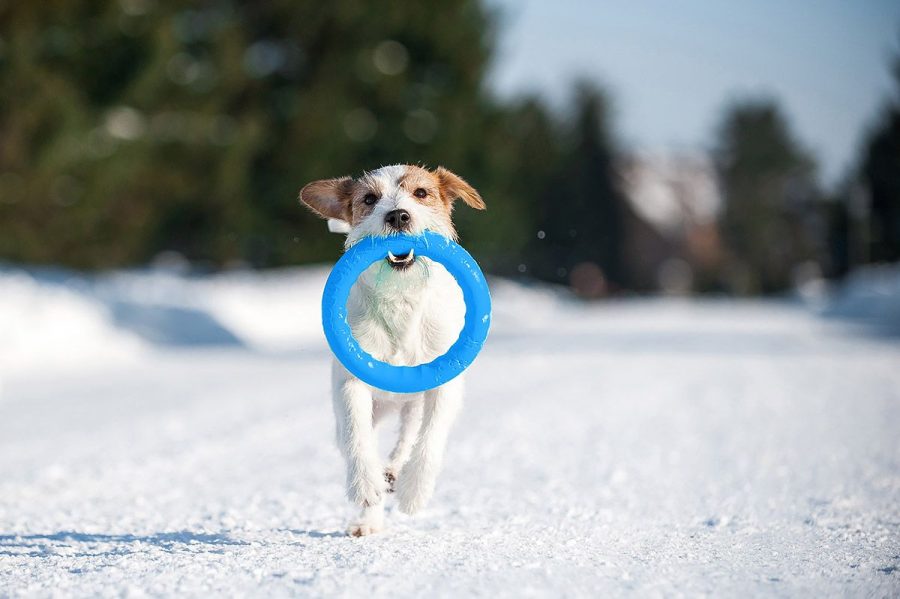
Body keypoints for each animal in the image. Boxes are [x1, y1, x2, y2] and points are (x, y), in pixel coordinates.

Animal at [300, 165, 486, 540]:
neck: (401, 297)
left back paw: (396, 472)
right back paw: (369, 511)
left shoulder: (443, 385)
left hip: (413, 403)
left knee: (409, 437)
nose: (398, 215)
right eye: (370, 199)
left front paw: (414, 492)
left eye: (421, 193)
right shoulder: (351, 384)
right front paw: (365, 485)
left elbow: (430, 438)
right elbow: (357, 435)